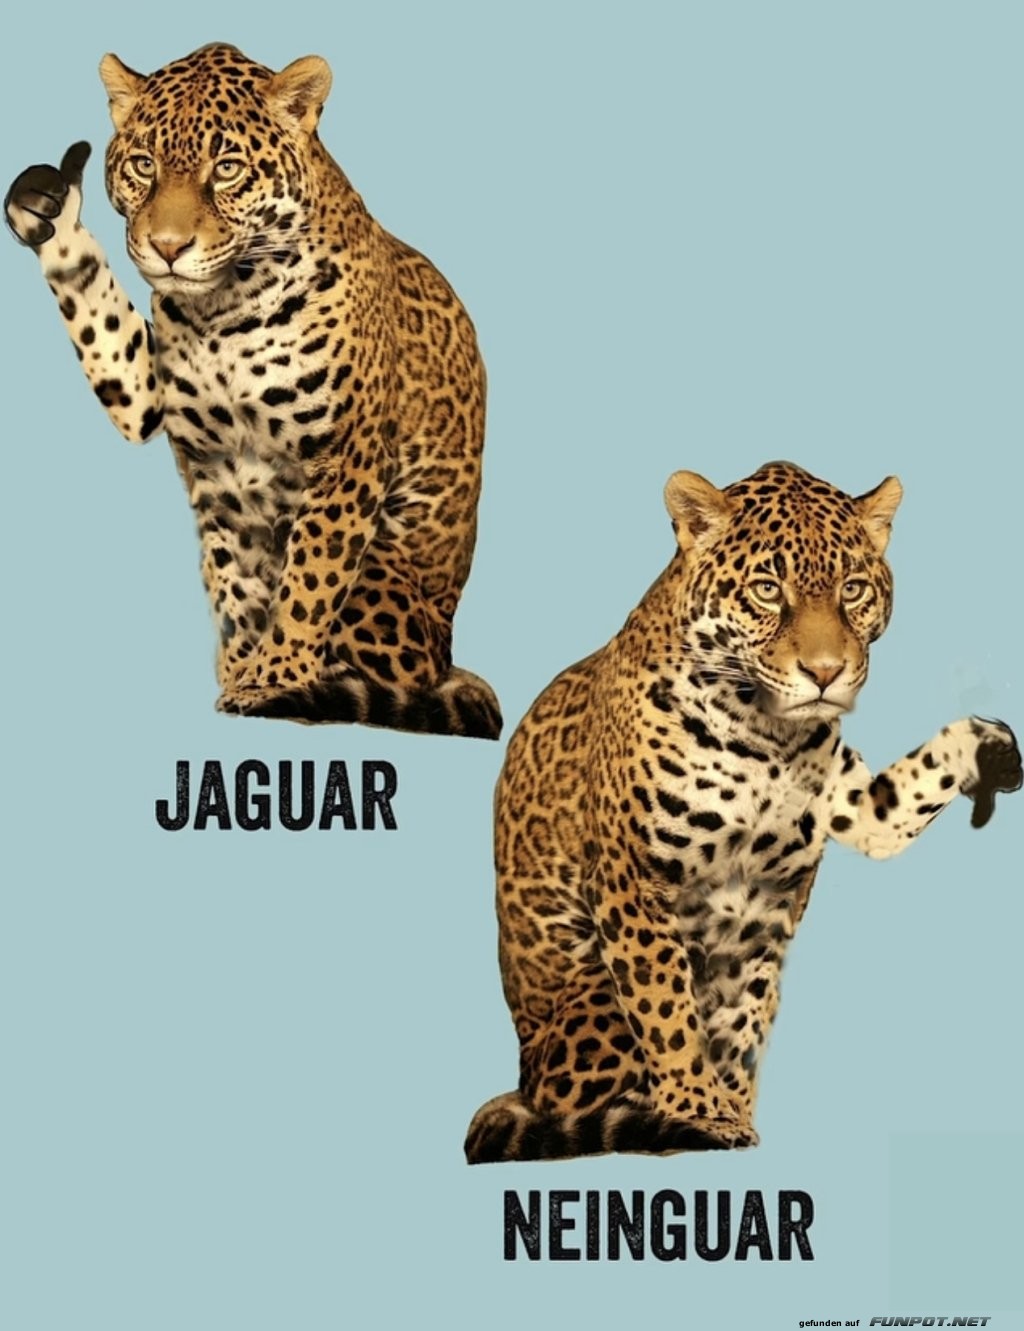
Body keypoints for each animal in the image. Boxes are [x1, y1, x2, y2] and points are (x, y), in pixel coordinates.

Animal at [5, 43, 501, 738]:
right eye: (143, 165)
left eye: (228, 170)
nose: (167, 247)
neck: (226, 307)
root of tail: (449, 645)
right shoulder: (181, 431)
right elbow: (232, 580)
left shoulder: (347, 459)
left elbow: (309, 580)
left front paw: (275, 677)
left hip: (388, 593)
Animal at [465, 461, 1021, 1162]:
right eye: (766, 590)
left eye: (853, 590)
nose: (825, 673)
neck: (766, 735)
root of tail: (522, 1076)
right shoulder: (632, 883)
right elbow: (668, 1011)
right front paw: (698, 1110)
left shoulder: (776, 894)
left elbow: (746, 1015)